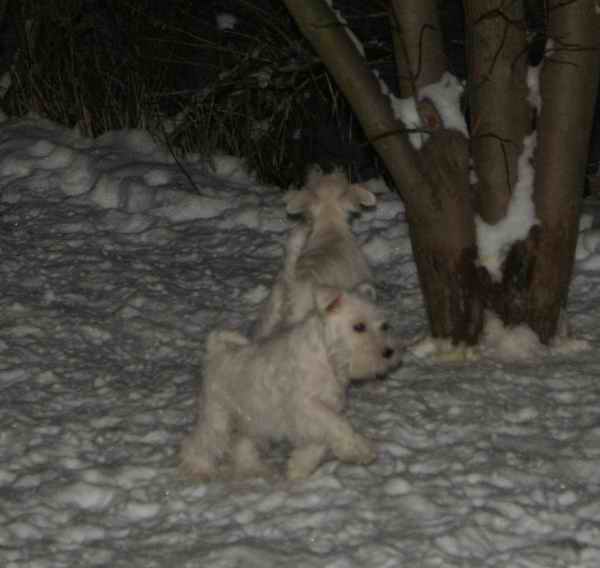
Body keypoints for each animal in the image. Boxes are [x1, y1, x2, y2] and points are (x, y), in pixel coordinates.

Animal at [180, 227, 400, 480]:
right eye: (359, 327)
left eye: (384, 326)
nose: (389, 352)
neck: (325, 356)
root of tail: (215, 350)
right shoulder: (307, 405)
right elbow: (339, 425)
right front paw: (359, 449)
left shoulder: (318, 412)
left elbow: (319, 443)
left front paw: (298, 468)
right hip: (218, 415)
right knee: (201, 442)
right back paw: (197, 469)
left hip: (252, 420)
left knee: (241, 444)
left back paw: (253, 468)